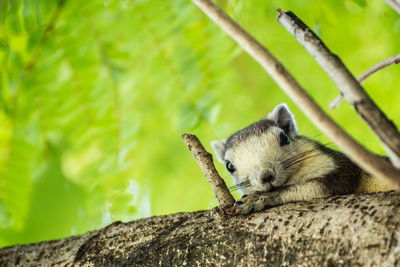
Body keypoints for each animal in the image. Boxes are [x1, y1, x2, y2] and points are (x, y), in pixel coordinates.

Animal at [211, 103, 392, 215]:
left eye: (284, 138)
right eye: (229, 166)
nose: (266, 175)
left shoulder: (340, 167)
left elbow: (311, 186)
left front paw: (257, 199)